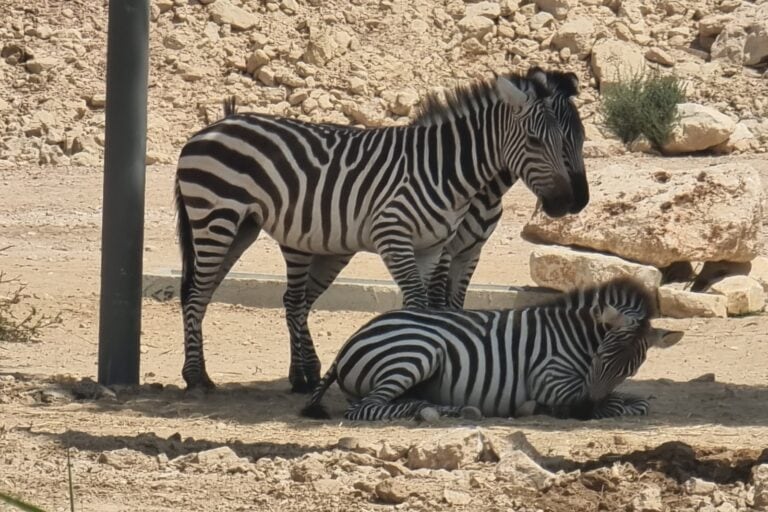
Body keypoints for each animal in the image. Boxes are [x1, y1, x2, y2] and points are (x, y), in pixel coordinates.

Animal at [300, 278, 683, 421]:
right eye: (601, 357)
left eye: (629, 369)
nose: (583, 413)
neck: (574, 336)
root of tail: (350, 341)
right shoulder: (551, 381)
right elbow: (620, 403)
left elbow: (635, 400)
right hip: (417, 353)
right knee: (366, 409)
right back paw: (432, 410)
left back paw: (450, 408)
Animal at [427, 68, 587, 310]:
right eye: (562, 142)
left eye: (583, 137)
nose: (579, 200)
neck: (485, 195)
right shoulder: (443, 253)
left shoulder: (471, 253)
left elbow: (456, 304)